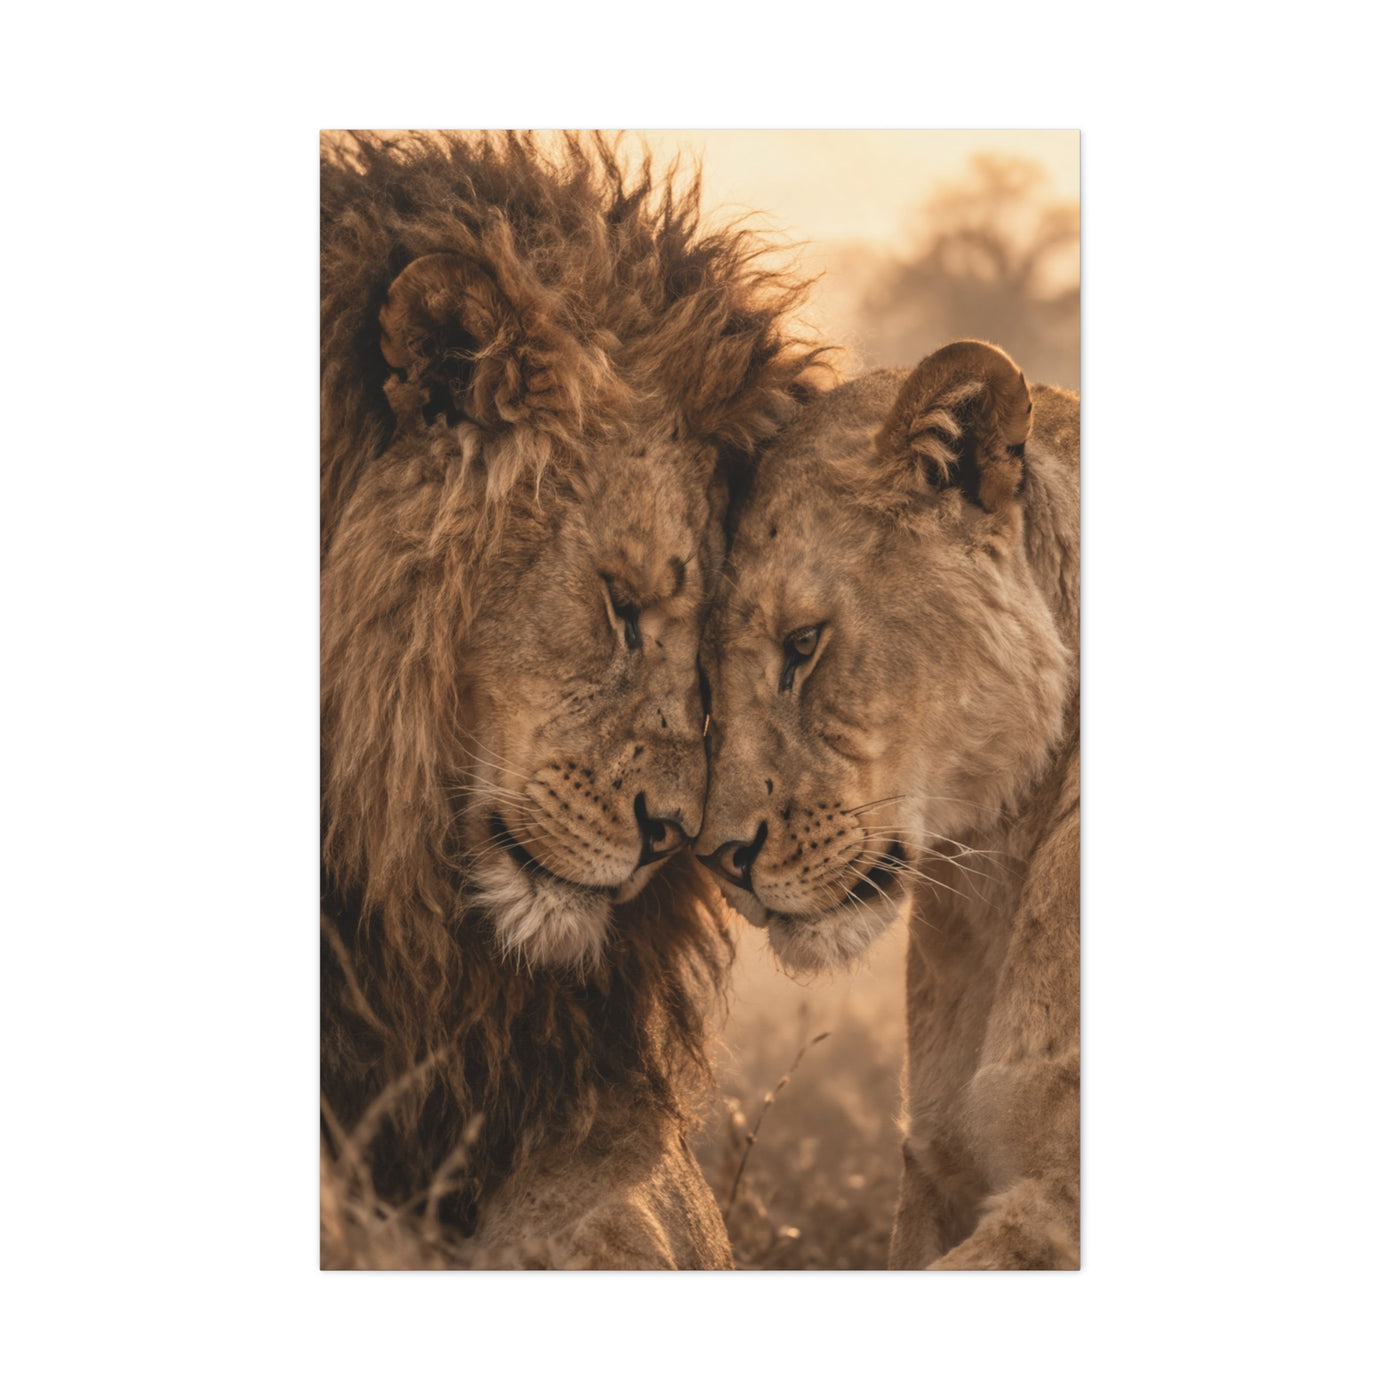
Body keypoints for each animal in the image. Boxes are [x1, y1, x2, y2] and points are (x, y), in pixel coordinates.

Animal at [696, 340, 1079, 1269]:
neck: (998, 872)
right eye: (702, 674)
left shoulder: (1060, 1198)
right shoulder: (934, 1164)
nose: (720, 857)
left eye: (803, 645)